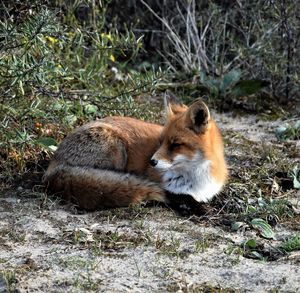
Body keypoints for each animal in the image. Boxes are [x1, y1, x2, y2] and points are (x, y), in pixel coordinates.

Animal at [43, 94, 227, 209]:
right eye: (161, 141)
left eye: (175, 144)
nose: (151, 162)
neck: (196, 177)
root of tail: (52, 168)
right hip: (117, 149)